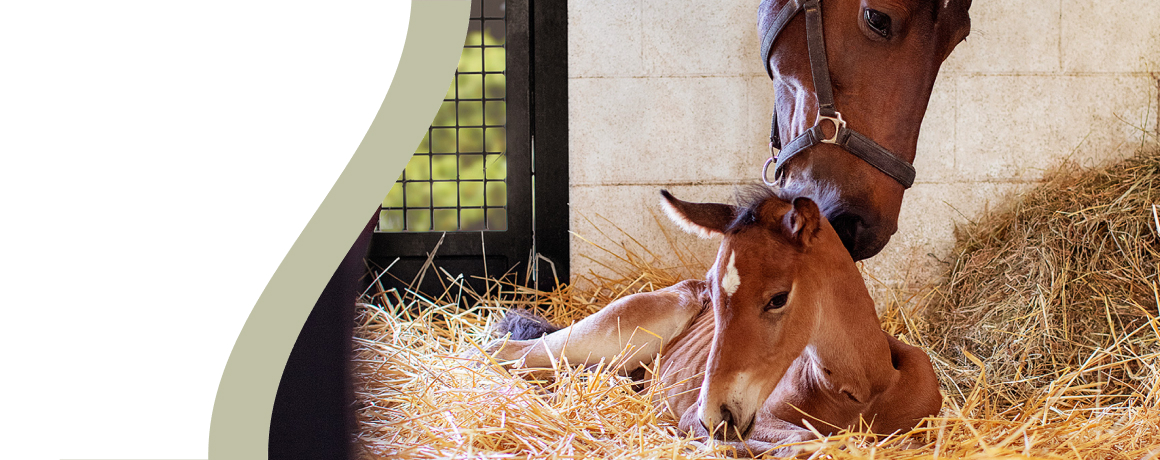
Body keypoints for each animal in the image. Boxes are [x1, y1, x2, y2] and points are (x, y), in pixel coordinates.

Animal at [483, 188, 942, 455]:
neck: (859, 390)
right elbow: (806, 439)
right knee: (506, 351)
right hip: (614, 334)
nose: (716, 413)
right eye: (717, 291)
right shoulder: (705, 417)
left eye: (778, 298)